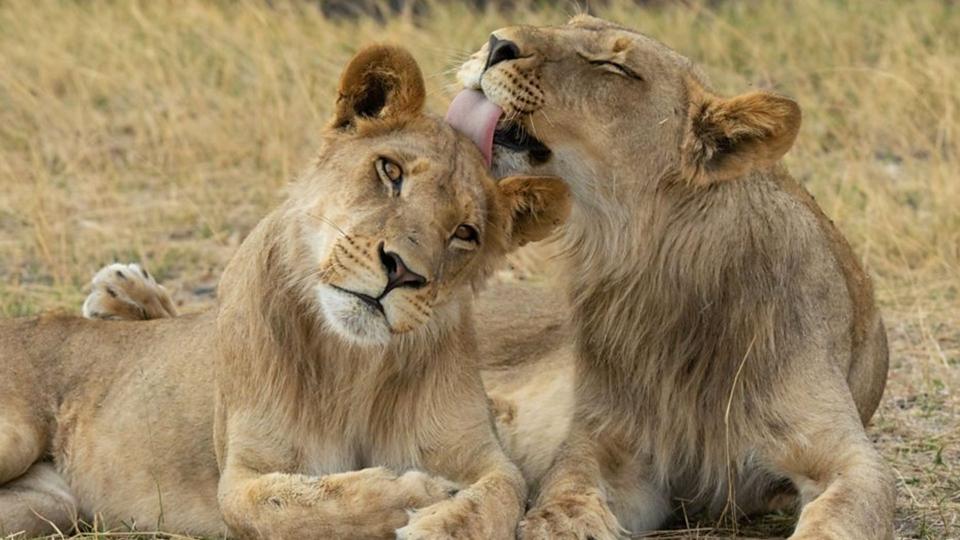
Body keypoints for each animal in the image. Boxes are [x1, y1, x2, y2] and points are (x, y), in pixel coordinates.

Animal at [0, 44, 572, 539]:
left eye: (465, 233)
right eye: (390, 171)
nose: (402, 272)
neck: (354, 366)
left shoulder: (482, 453)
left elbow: (504, 492)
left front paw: (443, 523)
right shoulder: (241, 475)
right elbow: (292, 506)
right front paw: (414, 496)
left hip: (47, 504)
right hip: (17, 438)